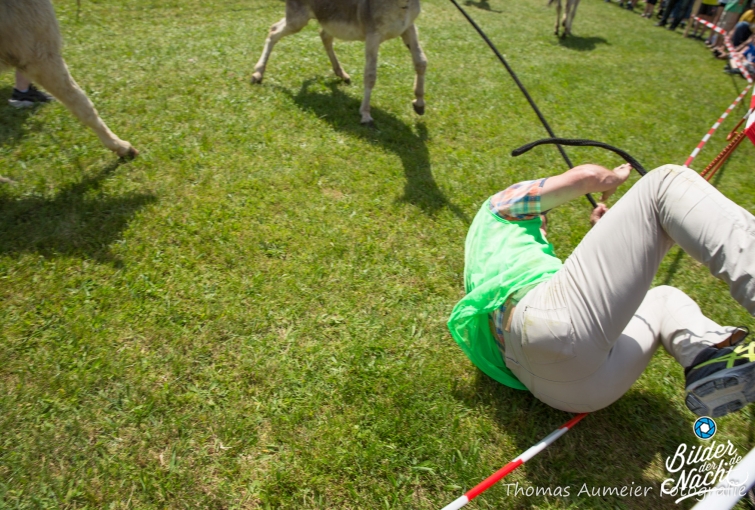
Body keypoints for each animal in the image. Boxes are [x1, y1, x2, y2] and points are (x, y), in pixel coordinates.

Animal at [250, 0, 428, 126]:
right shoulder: (373, 34)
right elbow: (370, 75)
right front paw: (365, 115)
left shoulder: (408, 27)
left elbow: (421, 62)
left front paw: (419, 103)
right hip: (298, 18)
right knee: (274, 31)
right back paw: (258, 73)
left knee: (323, 36)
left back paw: (341, 74)